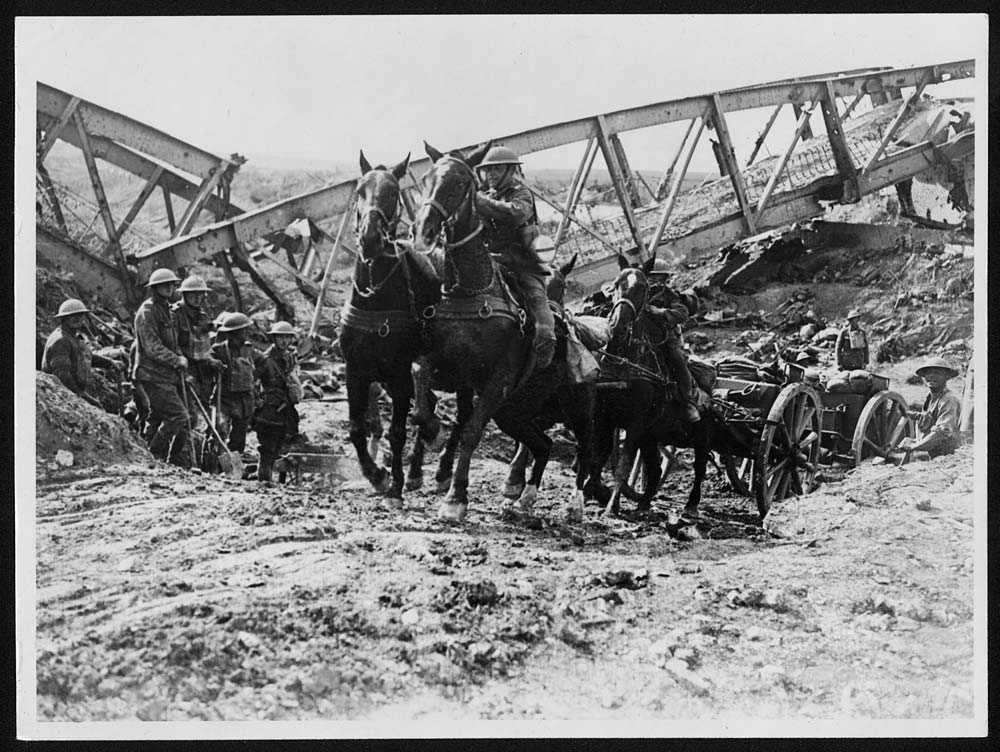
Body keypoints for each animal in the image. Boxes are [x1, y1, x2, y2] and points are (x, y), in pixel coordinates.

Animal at [340, 151, 442, 506]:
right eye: (360, 189)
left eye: (393, 192)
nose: (370, 238)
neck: (375, 297)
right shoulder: (355, 371)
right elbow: (356, 429)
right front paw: (376, 474)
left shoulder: (399, 375)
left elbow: (398, 431)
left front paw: (394, 484)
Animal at [410, 141, 584, 520]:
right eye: (427, 178)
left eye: (462, 182)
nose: (424, 231)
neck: (471, 289)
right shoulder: (444, 364)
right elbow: (422, 391)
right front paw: (430, 433)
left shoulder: (498, 379)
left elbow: (472, 430)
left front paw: (456, 498)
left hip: (524, 402)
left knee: (539, 441)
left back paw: (519, 488)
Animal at [584, 256, 752, 520]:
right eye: (615, 284)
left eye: (642, 287)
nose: (618, 324)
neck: (626, 363)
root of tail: (714, 399)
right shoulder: (604, 419)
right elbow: (597, 459)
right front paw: (590, 495)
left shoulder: (634, 425)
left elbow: (622, 466)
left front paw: (611, 507)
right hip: (653, 437)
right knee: (654, 470)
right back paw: (644, 505)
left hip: (702, 439)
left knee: (699, 469)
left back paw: (691, 505)